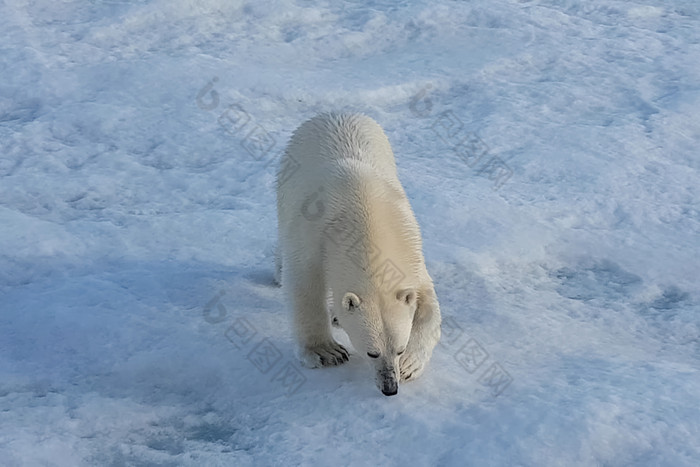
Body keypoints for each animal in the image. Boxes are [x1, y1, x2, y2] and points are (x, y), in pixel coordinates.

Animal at [276, 112, 440, 394]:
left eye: (399, 349)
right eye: (372, 352)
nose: (390, 387)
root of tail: (334, 112)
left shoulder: (409, 245)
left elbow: (427, 302)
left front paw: (410, 365)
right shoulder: (313, 232)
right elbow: (304, 285)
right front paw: (326, 352)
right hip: (287, 179)